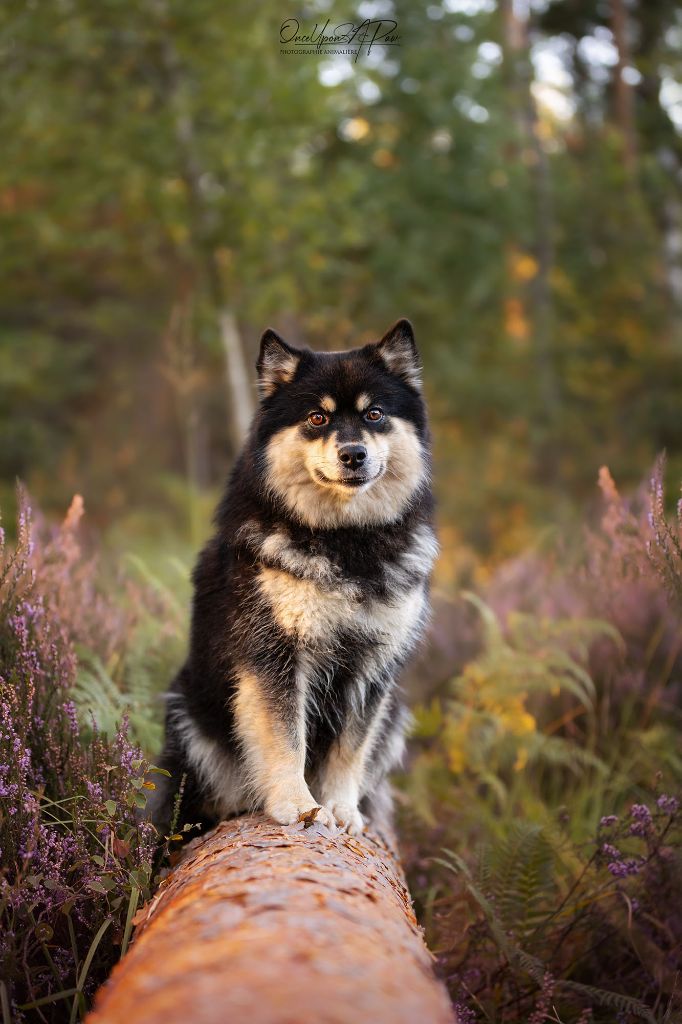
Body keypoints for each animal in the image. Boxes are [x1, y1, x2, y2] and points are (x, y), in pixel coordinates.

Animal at [150, 315, 436, 835]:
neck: (346, 541)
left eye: (375, 414)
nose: (353, 454)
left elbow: (350, 747)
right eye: (318, 418)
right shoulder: (276, 655)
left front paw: (342, 808)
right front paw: (297, 805)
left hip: (396, 714)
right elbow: (286, 738)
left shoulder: (372, 667)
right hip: (189, 717)